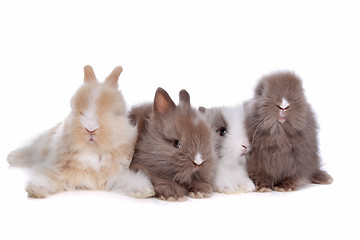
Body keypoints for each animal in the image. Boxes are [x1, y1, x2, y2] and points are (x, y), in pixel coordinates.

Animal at [6, 64, 153, 198]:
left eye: (113, 113)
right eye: (76, 111)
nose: (90, 128)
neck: (93, 152)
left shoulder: (116, 175)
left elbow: (128, 180)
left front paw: (145, 191)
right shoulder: (59, 170)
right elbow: (50, 177)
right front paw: (36, 189)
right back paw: (11, 157)